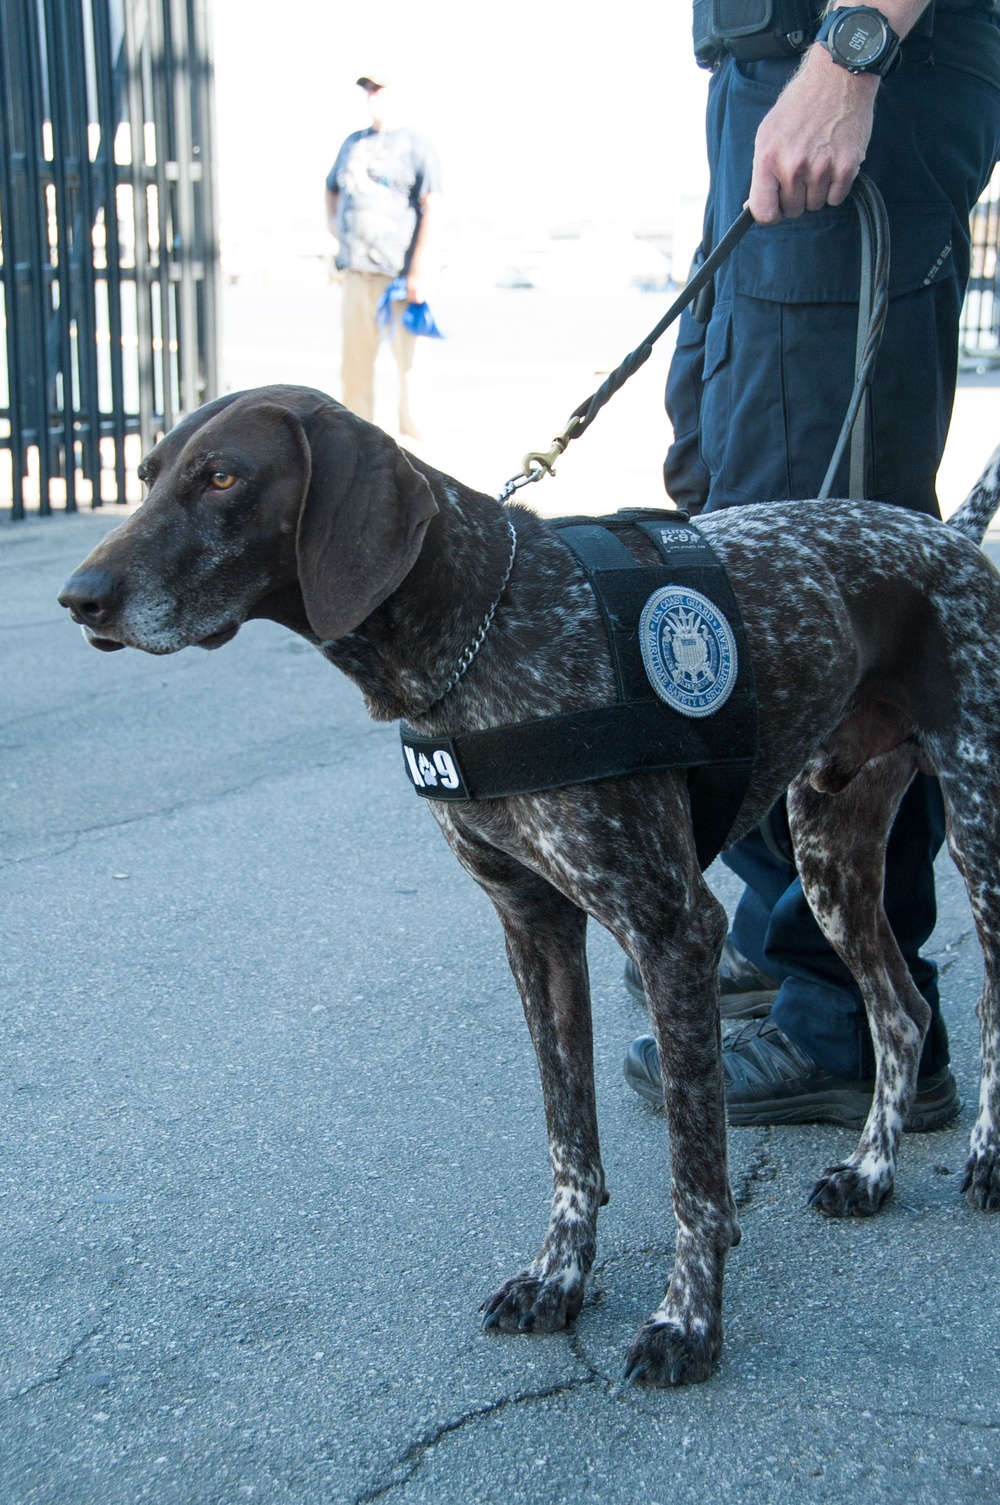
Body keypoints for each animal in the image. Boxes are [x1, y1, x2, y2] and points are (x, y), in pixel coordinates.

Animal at [60, 385, 1000, 1384]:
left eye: (223, 478)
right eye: (146, 474)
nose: (80, 598)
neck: (476, 625)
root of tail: (945, 533)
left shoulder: (673, 929)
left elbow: (696, 1169)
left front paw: (689, 1323)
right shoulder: (533, 927)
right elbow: (568, 1133)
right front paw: (559, 1275)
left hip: (979, 826)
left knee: (982, 1003)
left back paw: (986, 1159)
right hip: (829, 852)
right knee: (900, 1008)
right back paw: (872, 1170)